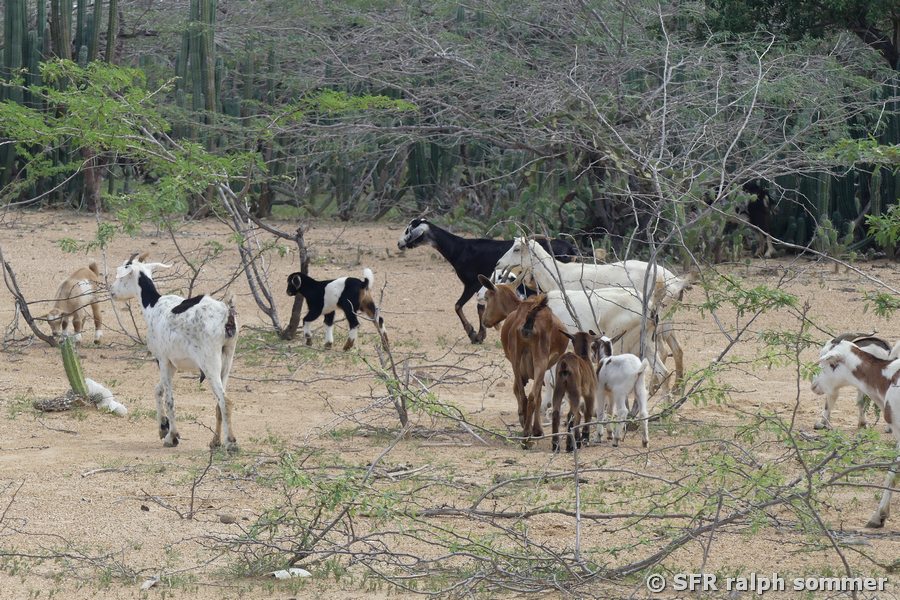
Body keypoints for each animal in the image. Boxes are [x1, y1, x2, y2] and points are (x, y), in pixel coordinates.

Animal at [109, 253, 239, 451]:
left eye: (122, 275)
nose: (112, 291)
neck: (153, 305)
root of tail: (227, 315)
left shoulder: (162, 359)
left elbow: (169, 399)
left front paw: (172, 436)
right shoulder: (173, 364)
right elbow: (158, 390)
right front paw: (163, 427)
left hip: (210, 362)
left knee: (225, 400)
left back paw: (230, 443)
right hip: (227, 359)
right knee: (219, 402)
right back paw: (215, 441)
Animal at [397, 218, 579, 343]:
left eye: (408, 230)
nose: (399, 244)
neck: (460, 249)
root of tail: (571, 249)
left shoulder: (472, 284)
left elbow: (459, 306)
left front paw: (473, 333)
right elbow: (479, 307)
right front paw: (480, 334)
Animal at [479, 274, 569, 444]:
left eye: (487, 297)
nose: (485, 321)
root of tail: (530, 318)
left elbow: (520, 390)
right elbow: (538, 396)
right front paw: (537, 430)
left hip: (519, 359)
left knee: (523, 394)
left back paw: (526, 431)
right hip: (538, 360)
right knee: (532, 396)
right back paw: (528, 433)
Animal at [494, 237, 688, 387]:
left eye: (516, 248)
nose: (497, 263)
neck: (559, 273)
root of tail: (674, 281)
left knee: (661, 353)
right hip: (663, 325)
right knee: (674, 352)